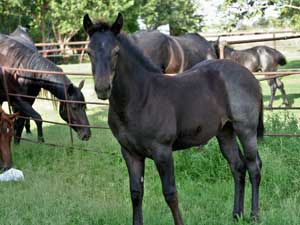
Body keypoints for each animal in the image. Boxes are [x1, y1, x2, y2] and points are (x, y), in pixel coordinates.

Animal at [83, 13, 264, 223]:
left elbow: (170, 193)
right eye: (89, 52)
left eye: (116, 51)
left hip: (246, 130)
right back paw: (236, 215)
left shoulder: (162, 151)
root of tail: (249, 75)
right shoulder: (130, 152)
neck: (139, 98)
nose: (102, 88)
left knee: (254, 167)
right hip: (225, 132)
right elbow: (136, 193)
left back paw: (254, 215)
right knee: (238, 167)